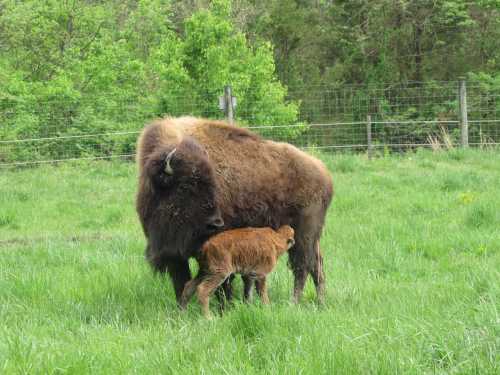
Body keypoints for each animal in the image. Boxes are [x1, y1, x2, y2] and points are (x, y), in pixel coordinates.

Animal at [135, 117, 334, 306]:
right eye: (185, 186)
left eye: (213, 185)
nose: (215, 223)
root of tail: (324, 172)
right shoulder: (175, 255)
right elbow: (181, 282)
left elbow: (224, 281)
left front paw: (226, 307)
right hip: (312, 237)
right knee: (317, 266)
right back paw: (321, 303)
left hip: (303, 234)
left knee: (302, 266)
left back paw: (294, 303)